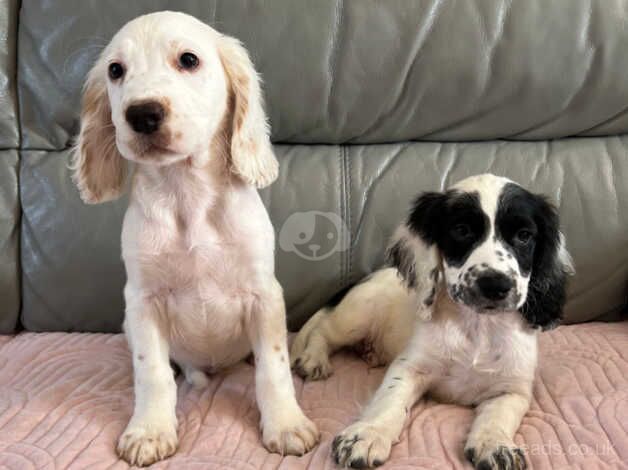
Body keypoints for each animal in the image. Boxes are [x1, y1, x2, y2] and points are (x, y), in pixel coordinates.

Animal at [72, 11, 318, 466]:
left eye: (188, 59)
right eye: (115, 70)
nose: (141, 114)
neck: (187, 196)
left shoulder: (264, 296)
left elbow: (272, 370)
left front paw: (286, 424)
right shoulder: (143, 301)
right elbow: (150, 372)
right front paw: (149, 431)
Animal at [290, 173, 576, 470]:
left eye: (524, 236)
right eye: (461, 230)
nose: (495, 285)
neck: (477, 327)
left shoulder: (513, 389)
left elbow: (498, 415)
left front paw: (495, 444)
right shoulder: (409, 367)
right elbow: (389, 400)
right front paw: (368, 434)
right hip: (357, 314)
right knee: (324, 331)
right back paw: (314, 358)